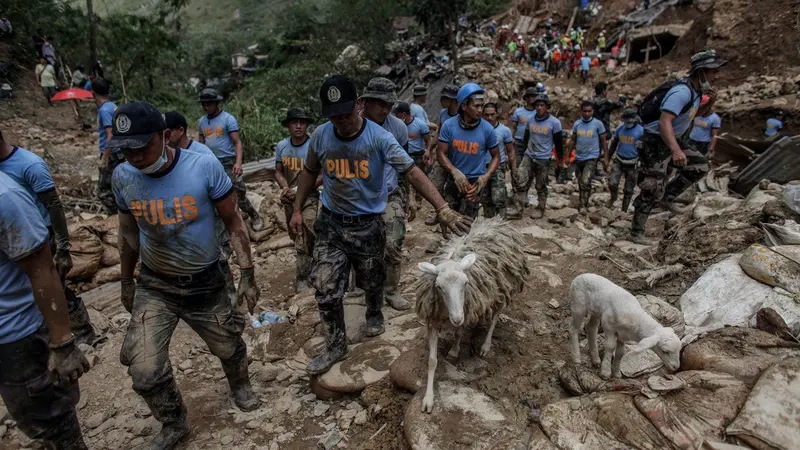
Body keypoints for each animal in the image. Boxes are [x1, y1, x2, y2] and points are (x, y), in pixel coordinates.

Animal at [412, 216, 532, 414]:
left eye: (466, 283)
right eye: (439, 287)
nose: (457, 318)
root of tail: (499, 221)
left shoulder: (466, 309)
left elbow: (460, 331)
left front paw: (455, 348)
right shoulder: (434, 319)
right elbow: (432, 360)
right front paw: (428, 398)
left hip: (502, 286)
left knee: (496, 315)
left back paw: (485, 345)